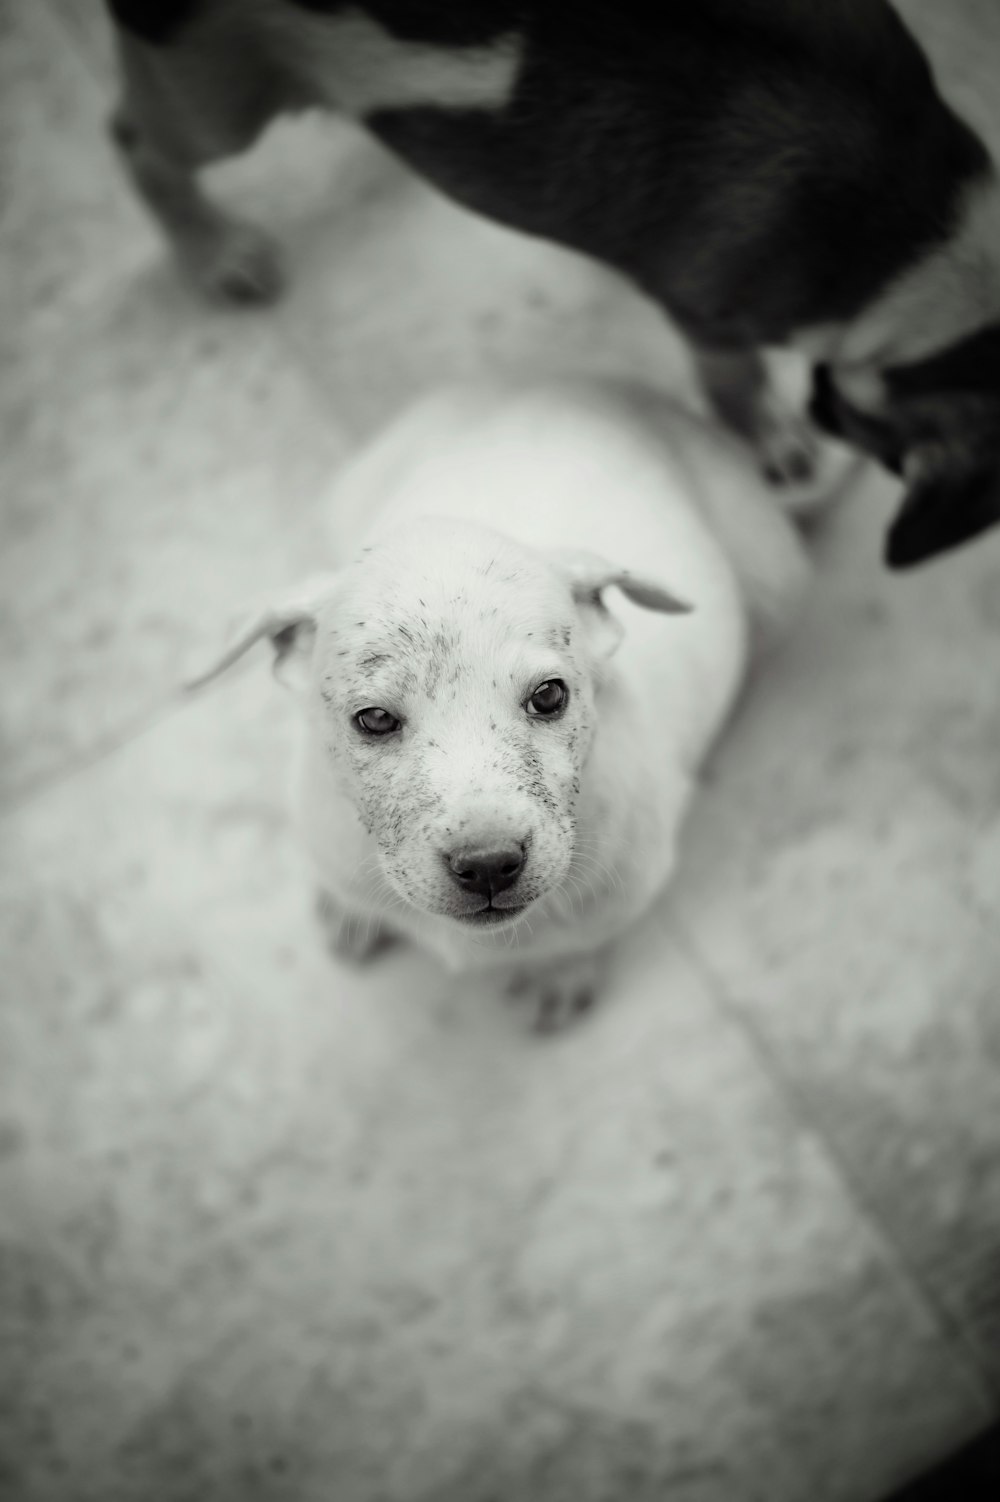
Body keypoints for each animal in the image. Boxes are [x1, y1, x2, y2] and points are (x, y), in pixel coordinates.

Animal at [107, 2, 996, 564]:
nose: (820, 409)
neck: (918, 220)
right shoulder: (709, 320)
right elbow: (736, 384)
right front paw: (774, 439)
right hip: (209, 97)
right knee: (135, 143)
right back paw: (214, 252)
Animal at [198, 381, 816, 1027]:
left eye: (549, 695)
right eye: (374, 719)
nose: (490, 864)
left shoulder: (629, 880)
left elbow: (585, 936)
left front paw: (563, 970)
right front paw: (350, 909)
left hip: (775, 578)